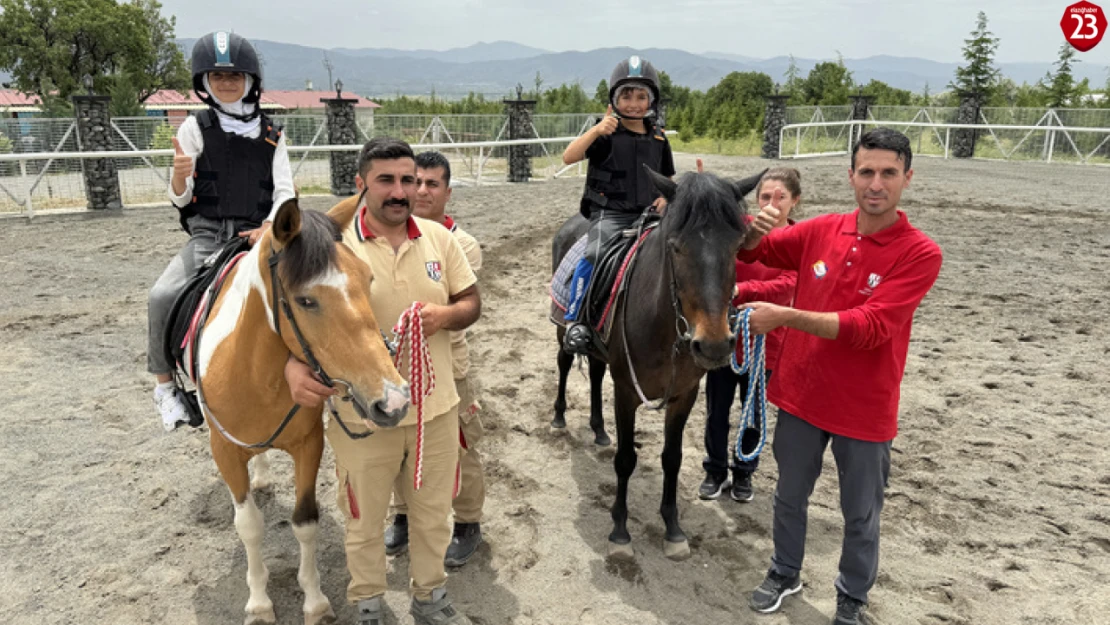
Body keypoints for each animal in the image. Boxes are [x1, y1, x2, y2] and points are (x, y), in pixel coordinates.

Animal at [197, 200, 410, 625]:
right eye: (306, 300)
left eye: (367, 279)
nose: (392, 401)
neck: (256, 377)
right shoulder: (224, 450)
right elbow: (249, 526)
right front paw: (259, 604)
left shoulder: (309, 445)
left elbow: (305, 521)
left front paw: (315, 601)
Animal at [548, 167, 759, 561]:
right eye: (675, 246)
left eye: (737, 247)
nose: (713, 344)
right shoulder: (627, 391)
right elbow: (625, 459)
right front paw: (619, 531)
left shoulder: (684, 395)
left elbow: (672, 458)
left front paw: (673, 529)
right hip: (562, 330)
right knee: (565, 363)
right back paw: (558, 418)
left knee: (595, 374)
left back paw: (599, 430)